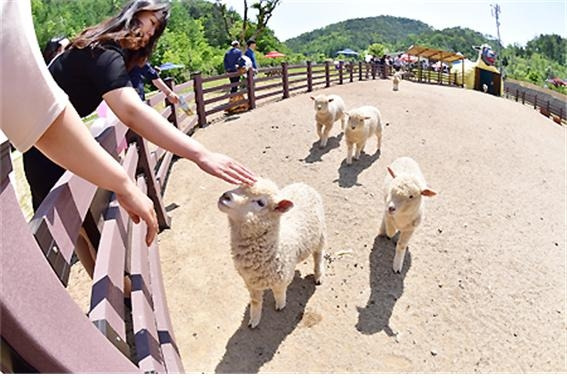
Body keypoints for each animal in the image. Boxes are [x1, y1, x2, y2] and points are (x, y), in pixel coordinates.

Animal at [217, 177, 326, 328]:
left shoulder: (281, 280)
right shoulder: (250, 282)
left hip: (320, 235)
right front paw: (254, 320)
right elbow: (256, 302)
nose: (225, 196)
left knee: (318, 255)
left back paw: (318, 275)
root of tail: (303, 184)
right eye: (239, 186)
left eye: (261, 202)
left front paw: (280, 304)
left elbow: (279, 292)